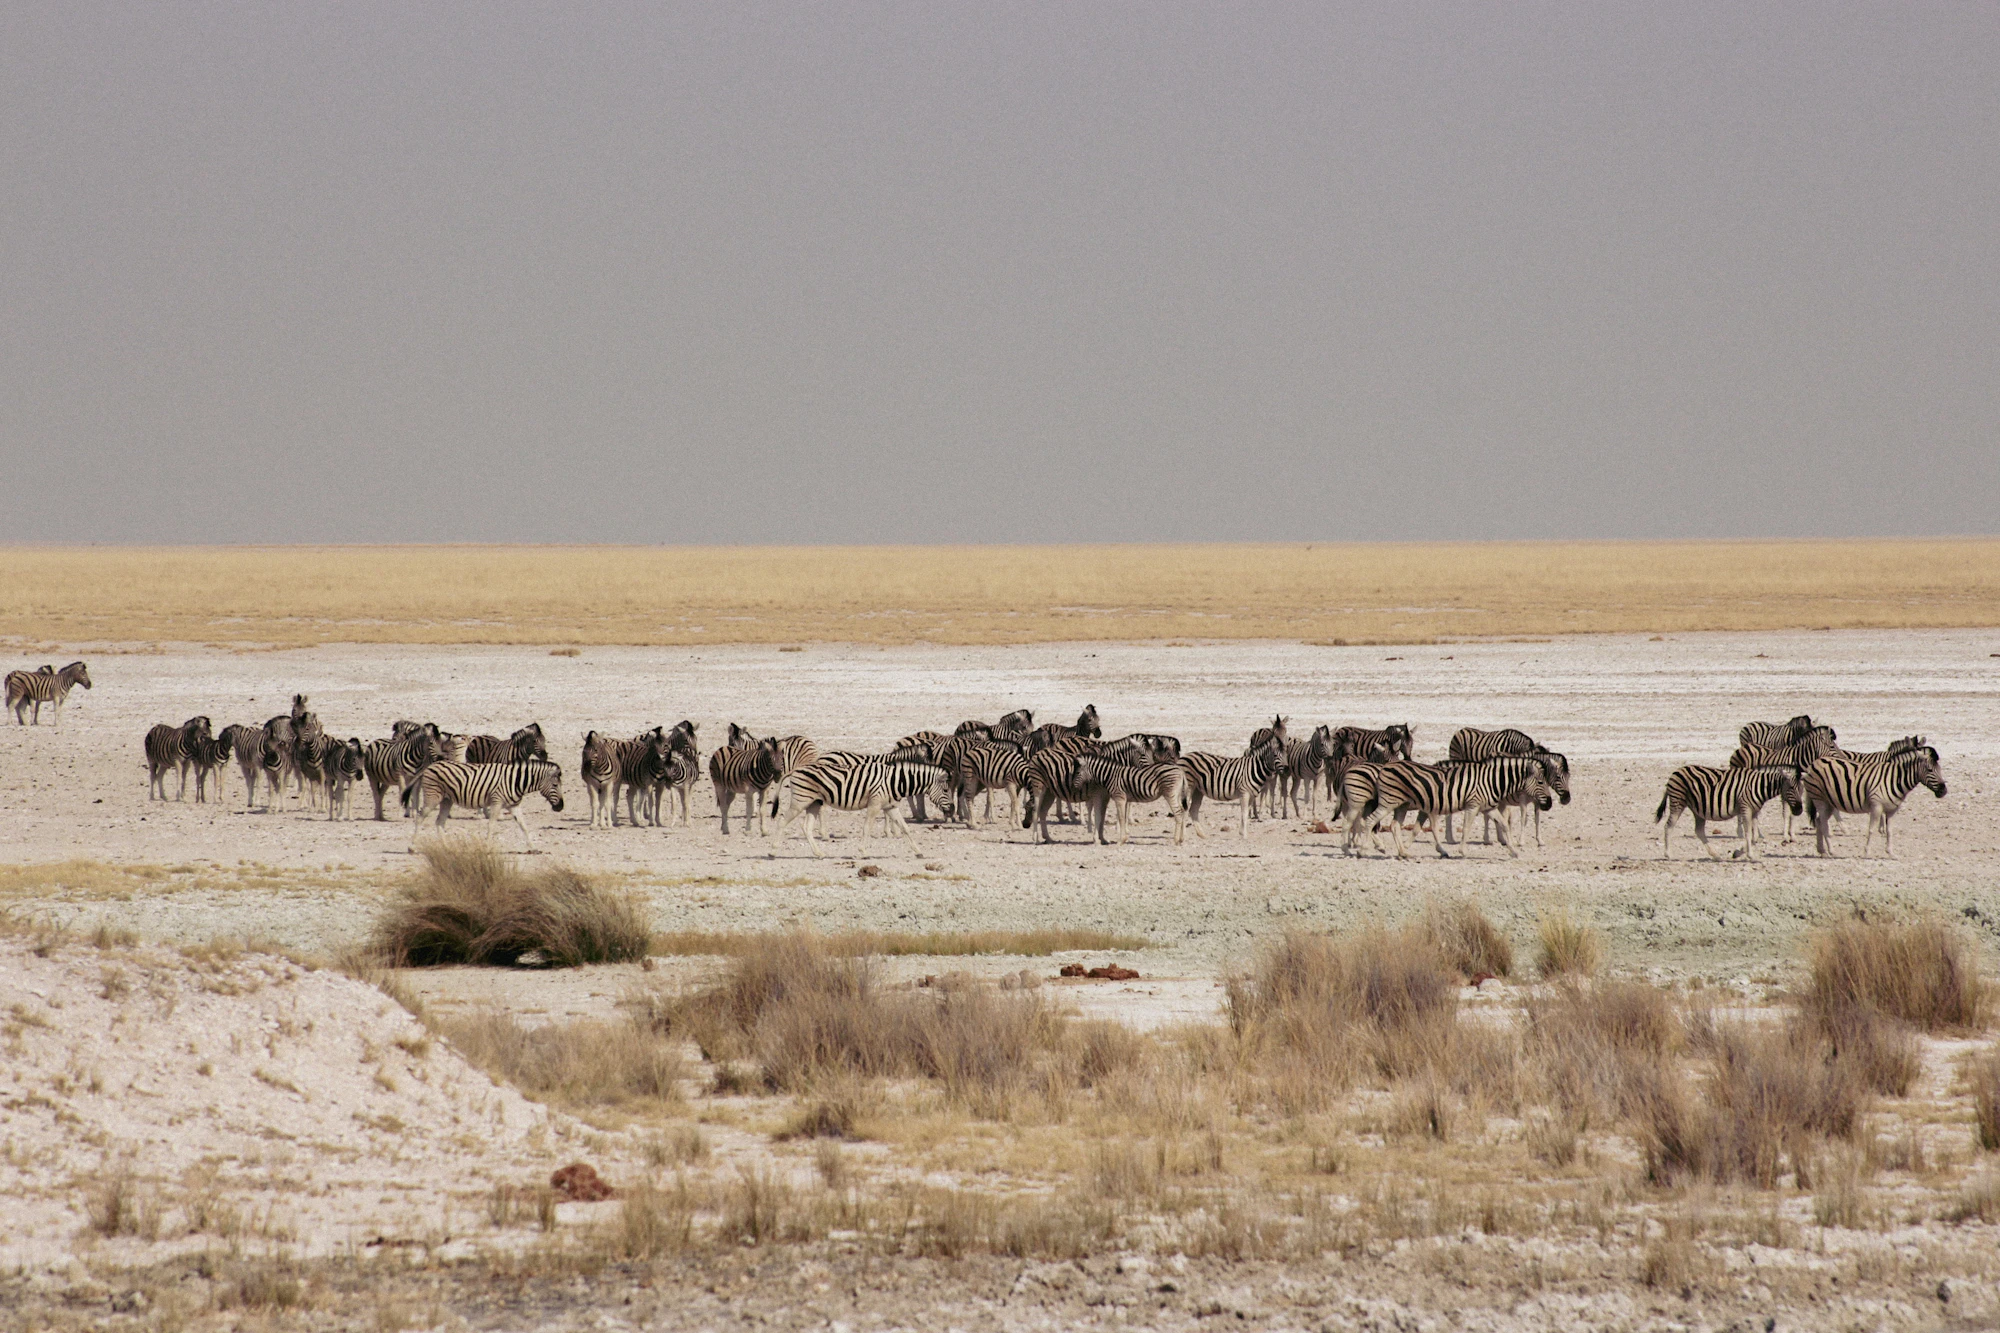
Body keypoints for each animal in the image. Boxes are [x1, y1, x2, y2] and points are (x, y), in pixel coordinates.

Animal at [405, 759, 566, 848]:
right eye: (555, 785)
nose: (561, 807)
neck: (516, 781)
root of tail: (429, 766)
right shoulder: (496, 801)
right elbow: (492, 825)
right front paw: (488, 847)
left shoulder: (514, 805)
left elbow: (523, 826)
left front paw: (533, 847)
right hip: (433, 797)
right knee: (420, 818)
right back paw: (412, 847)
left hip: (446, 800)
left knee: (439, 822)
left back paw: (446, 847)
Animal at [775, 757, 955, 857]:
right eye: (946, 790)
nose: (953, 810)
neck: (895, 782)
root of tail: (795, 769)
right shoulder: (874, 804)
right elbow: (867, 828)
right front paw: (863, 852)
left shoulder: (891, 806)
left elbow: (905, 828)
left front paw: (918, 852)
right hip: (800, 800)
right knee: (782, 822)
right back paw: (773, 851)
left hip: (814, 803)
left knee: (806, 827)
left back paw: (819, 853)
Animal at [1363, 757, 1555, 860]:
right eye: (1540, 782)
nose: (1550, 804)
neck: (1491, 781)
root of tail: (1386, 766)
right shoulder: (1472, 805)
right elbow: (1467, 828)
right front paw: (1462, 851)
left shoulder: (1488, 808)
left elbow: (1504, 825)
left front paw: (1513, 851)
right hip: (1388, 801)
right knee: (1369, 821)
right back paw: (1362, 850)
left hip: (1401, 805)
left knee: (1394, 826)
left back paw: (1403, 853)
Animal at [1654, 764, 1803, 861]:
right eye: (1790, 787)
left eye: (1801, 789)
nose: (1799, 810)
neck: (1759, 787)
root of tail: (1675, 772)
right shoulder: (1745, 808)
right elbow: (1748, 833)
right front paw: (1750, 856)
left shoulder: (1755, 811)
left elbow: (1754, 837)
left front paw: (1737, 853)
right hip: (1678, 802)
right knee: (1668, 826)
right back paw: (1668, 855)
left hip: (1698, 810)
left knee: (1699, 830)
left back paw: (1716, 856)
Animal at [1803, 746, 1945, 858]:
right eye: (1930, 770)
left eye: (1940, 769)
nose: (1944, 791)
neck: (1894, 779)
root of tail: (1815, 762)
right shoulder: (1876, 807)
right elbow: (1871, 830)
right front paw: (1867, 852)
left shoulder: (1892, 810)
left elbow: (1889, 831)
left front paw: (1891, 853)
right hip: (1820, 799)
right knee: (1824, 824)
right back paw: (1831, 851)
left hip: (1830, 802)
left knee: (1818, 821)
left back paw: (1822, 851)